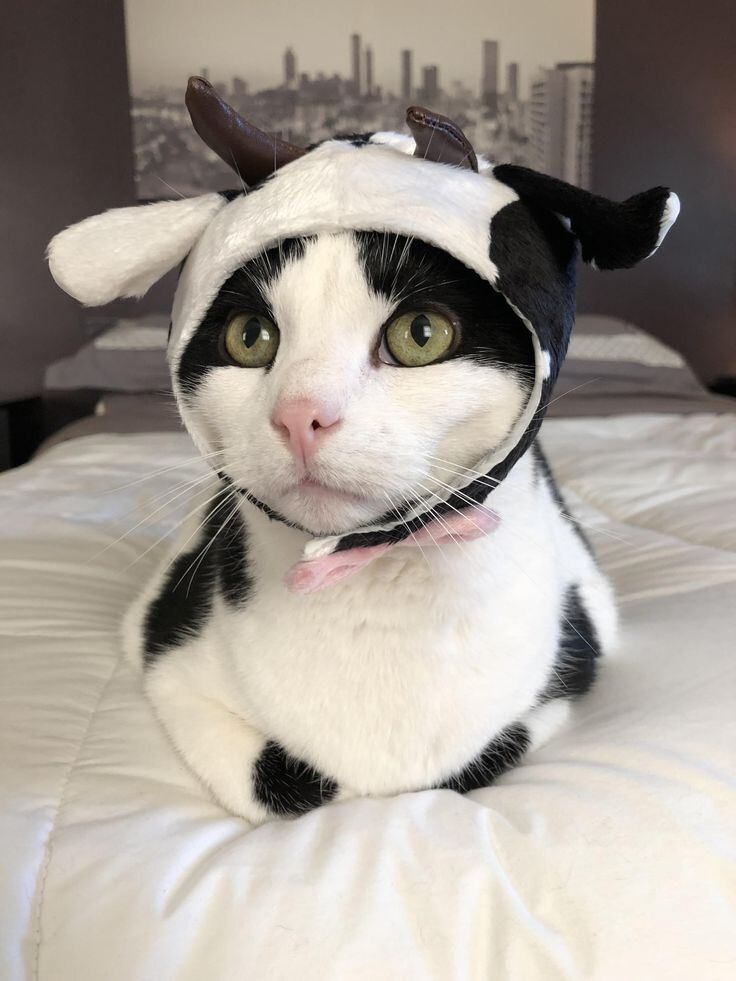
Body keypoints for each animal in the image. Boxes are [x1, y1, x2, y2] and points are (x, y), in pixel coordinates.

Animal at [47, 80, 680, 824]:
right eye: (250, 336)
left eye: (421, 332)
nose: (299, 415)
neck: (376, 585)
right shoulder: (166, 654)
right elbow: (281, 781)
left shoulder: (575, 655)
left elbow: (488, 750)